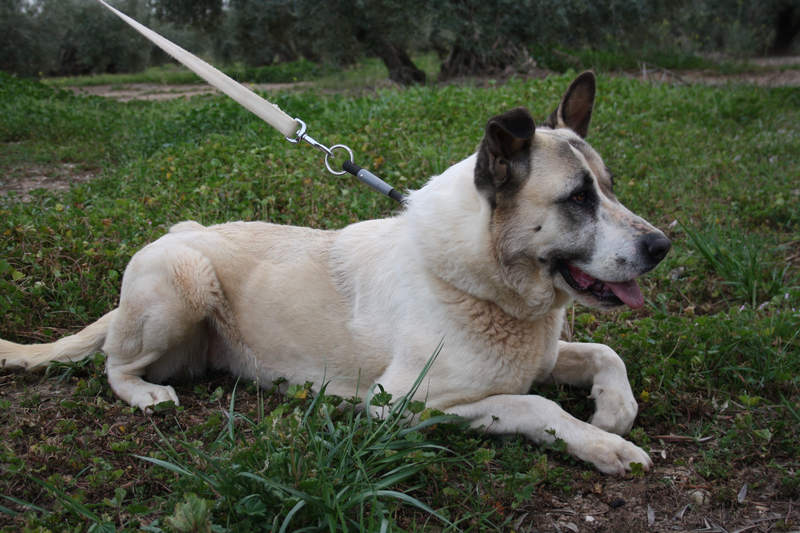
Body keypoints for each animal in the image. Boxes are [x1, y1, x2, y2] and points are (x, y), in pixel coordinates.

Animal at [1, 72, 670, 474]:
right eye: (578, 198)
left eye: (610, 188)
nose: (662, 246)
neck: (481, 281)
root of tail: (178, 232)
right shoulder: (401, 406)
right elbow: (535, 405)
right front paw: (606, 445)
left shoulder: (540, 353)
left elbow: (604, 352)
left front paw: (613, 411)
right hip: (182, 281)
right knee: (112, 365)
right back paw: (144, 394)